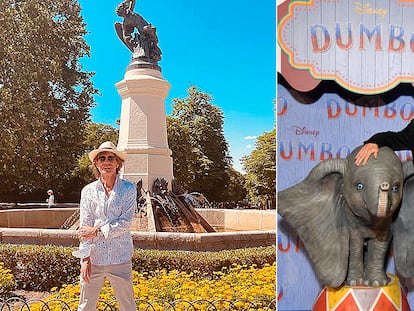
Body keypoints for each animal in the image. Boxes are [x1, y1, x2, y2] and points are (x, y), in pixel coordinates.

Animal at [276, 146, 414, 288]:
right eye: (359, 186)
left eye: (396, 188)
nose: (384, 185)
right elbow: (354, 244)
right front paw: (354, 283)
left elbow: (380, 244)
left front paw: (377, 283)